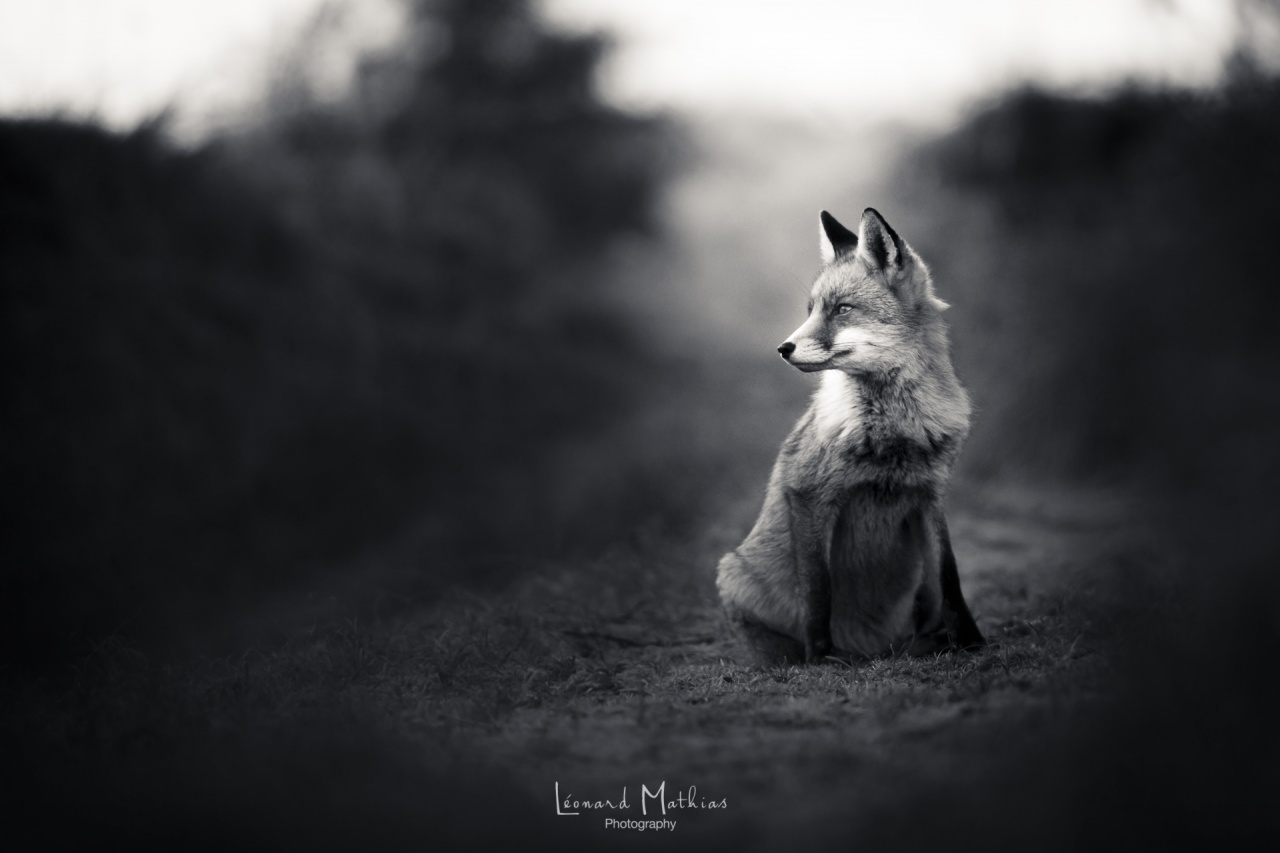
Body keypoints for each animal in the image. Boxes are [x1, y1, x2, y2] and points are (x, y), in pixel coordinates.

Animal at [716, 207, 983, 665]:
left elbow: (950, 577)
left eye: (842, 309)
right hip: (734, 574)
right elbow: (818, 591)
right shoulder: (808, 495)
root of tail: (875, 648)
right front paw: (821, 658)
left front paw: (971, 641)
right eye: (810, 310)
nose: (783, 348)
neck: (893, 432)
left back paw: (926, 642)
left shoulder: (931, 496)